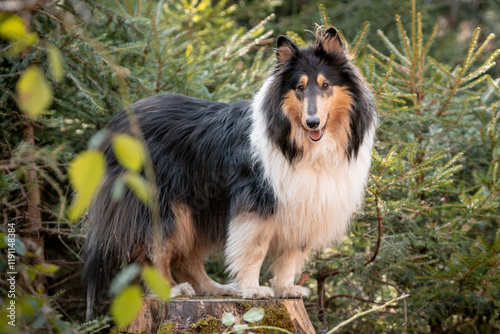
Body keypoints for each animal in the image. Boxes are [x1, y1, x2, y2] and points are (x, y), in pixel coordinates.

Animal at [83, 26, 376, 318]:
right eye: (300, 88)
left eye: (326, 85)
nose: (312, 122)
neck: (303, 146)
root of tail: (118, 123)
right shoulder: (257, 203)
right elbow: (254, 249)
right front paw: (253, 290)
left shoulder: (304, 205)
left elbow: (290, 256)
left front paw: (285, 289)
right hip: (162, 203)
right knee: (154, 251)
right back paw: (172, 290)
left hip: (199, 208)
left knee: (187, 258)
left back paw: (215, 288)